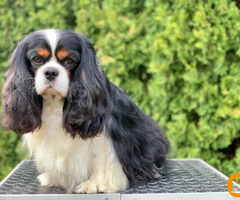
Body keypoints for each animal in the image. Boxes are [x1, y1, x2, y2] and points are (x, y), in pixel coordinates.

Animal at [1, 29, 169, 194]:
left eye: (69, 61)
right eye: (37, 59)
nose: (50, 72)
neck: (55, 103)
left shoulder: (103, 135)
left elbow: (101, 158)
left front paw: (96, 184)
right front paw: (54, 178)